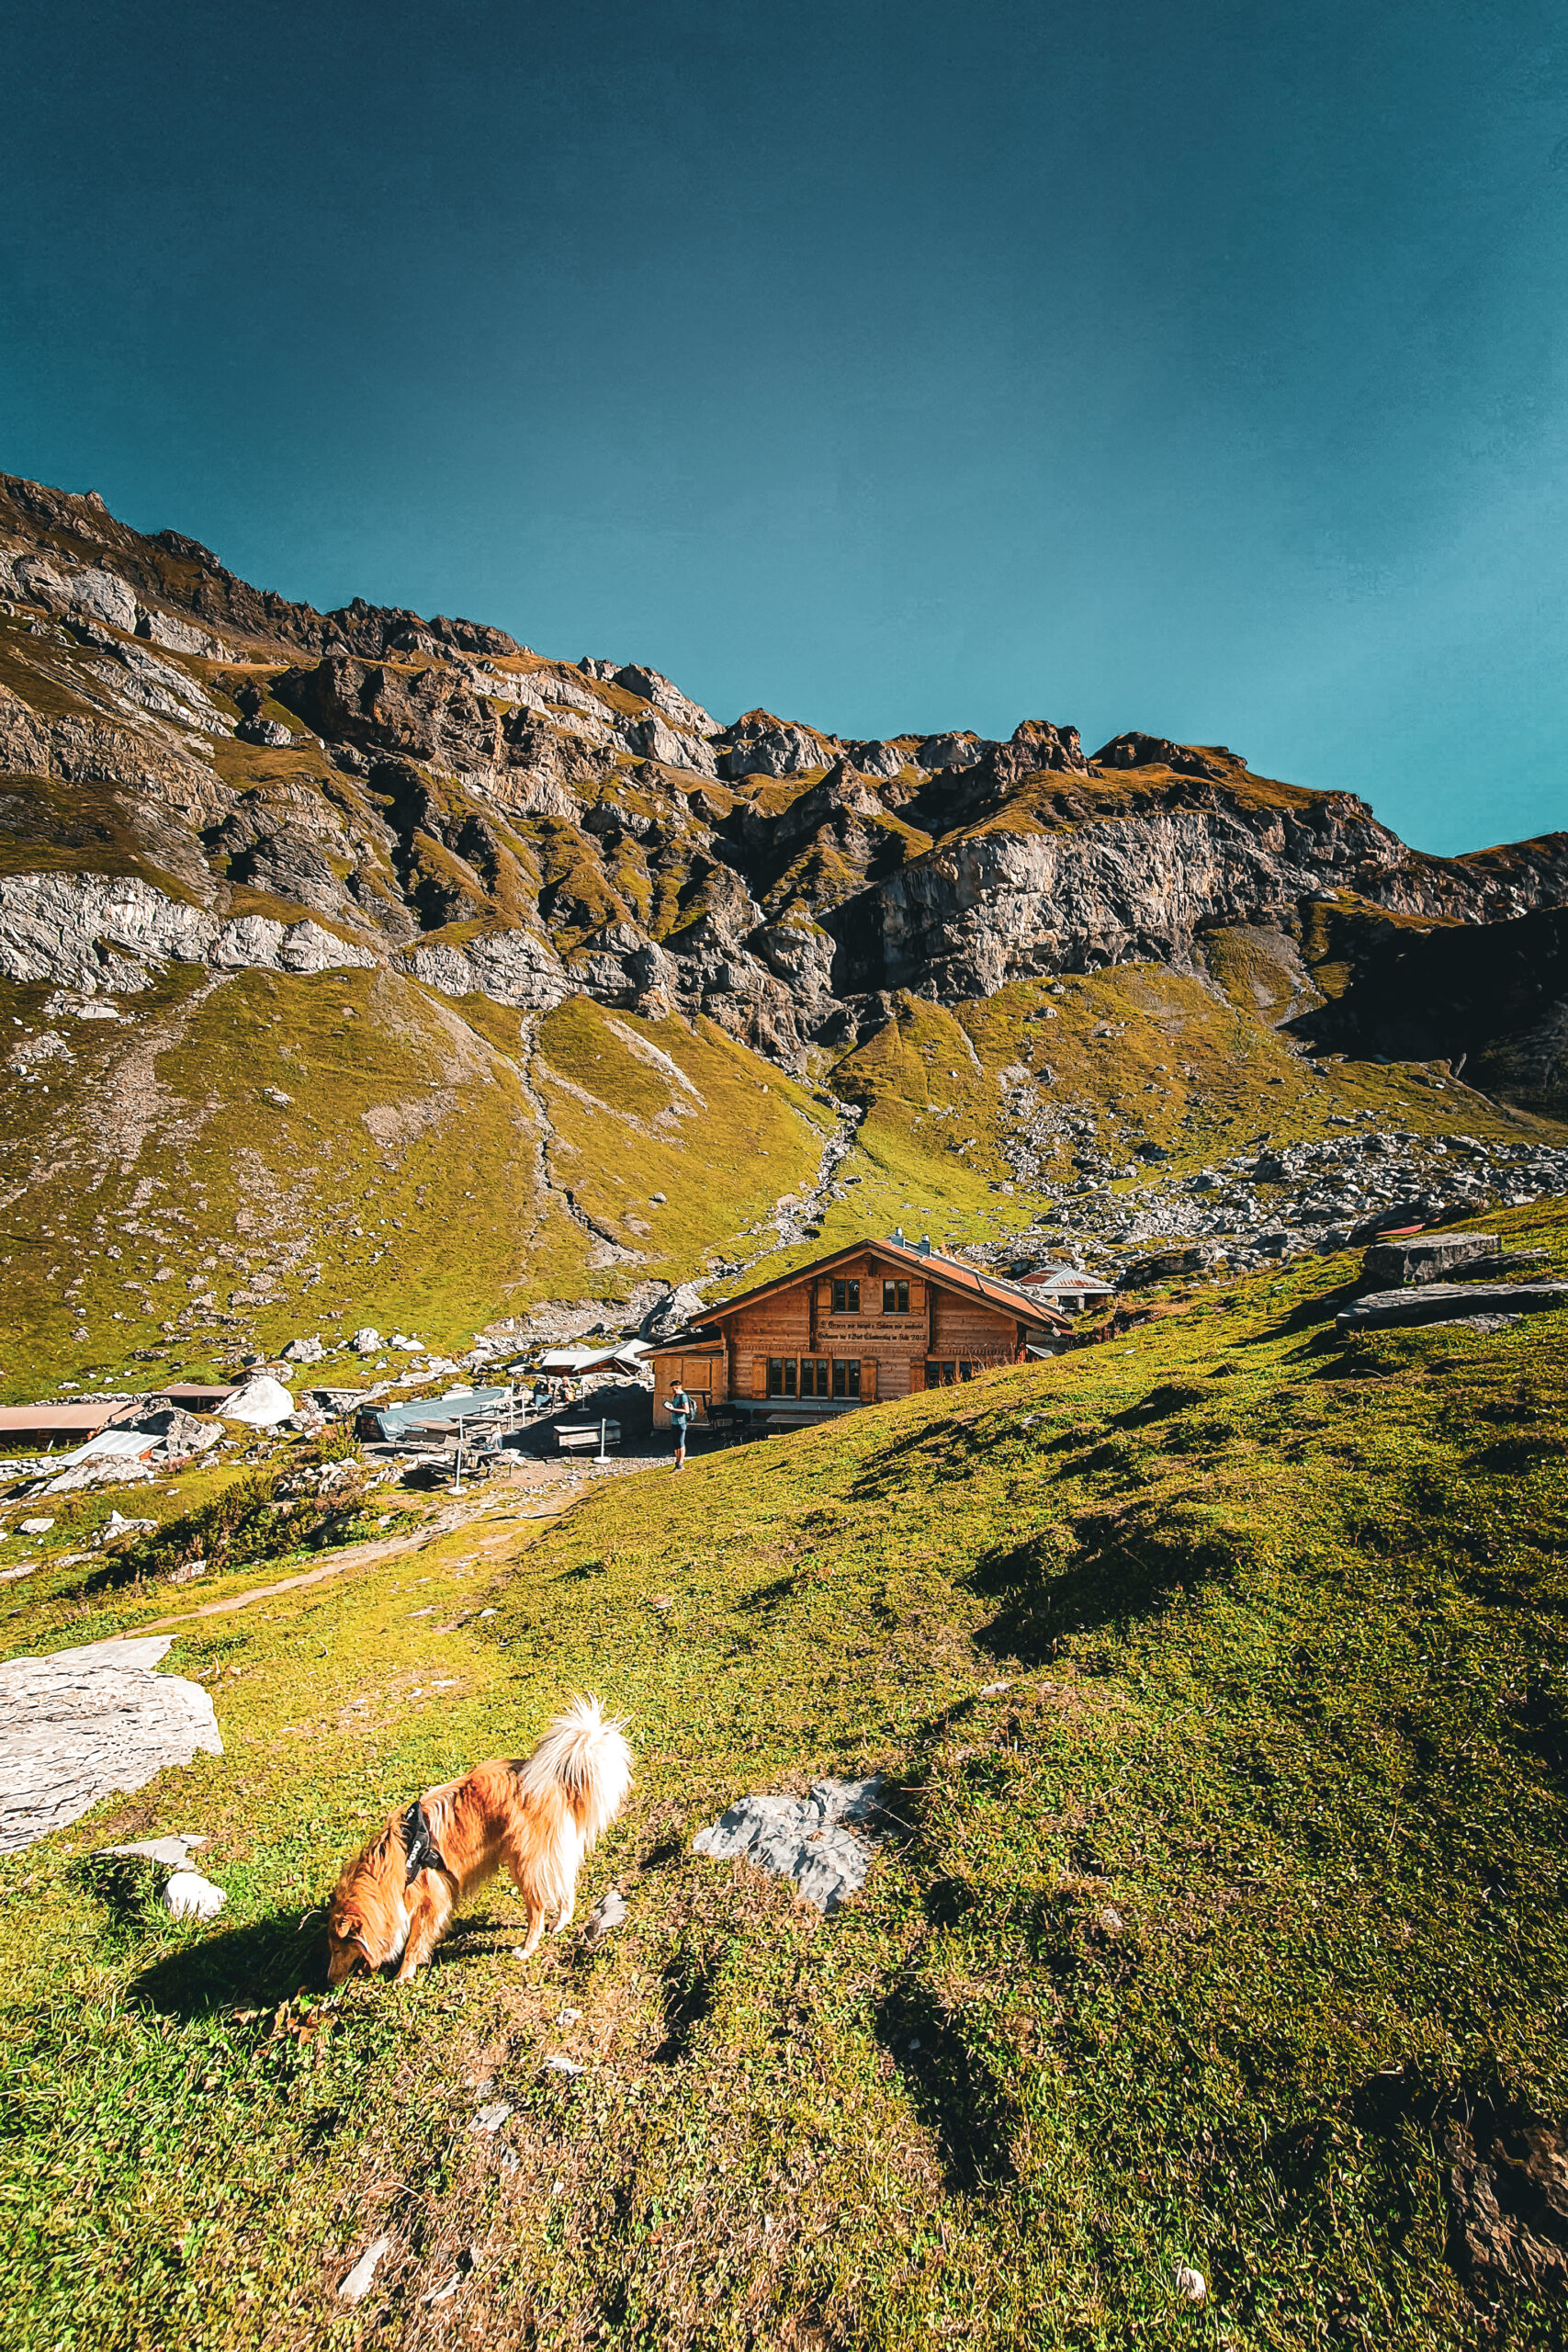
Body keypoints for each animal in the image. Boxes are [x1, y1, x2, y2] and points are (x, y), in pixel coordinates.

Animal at [324, 1693, 629, 1984]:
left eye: (338, 1949)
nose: (328, 1981)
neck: (392, 1866)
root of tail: (553, 1778)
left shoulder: (430, 1900)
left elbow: (414, 1942)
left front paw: (403, 1975)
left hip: (524, 1863)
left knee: (538, 1908)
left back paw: (526, 1948)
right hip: (547, 1856)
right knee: (565, 1890)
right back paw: (560, 1924)